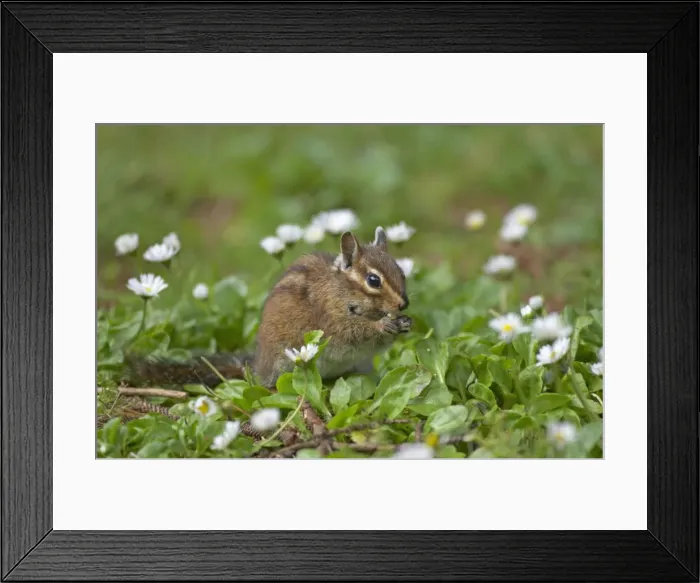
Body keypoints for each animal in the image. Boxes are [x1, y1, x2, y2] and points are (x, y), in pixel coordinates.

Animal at [125, 226, 412, 389]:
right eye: (373, 280)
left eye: (401, 272)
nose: (404, 303)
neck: (344, 290)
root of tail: (256, 366)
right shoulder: (331, 319)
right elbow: (355, 333)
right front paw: (384, 324)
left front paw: (405, 321)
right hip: (283, 366)